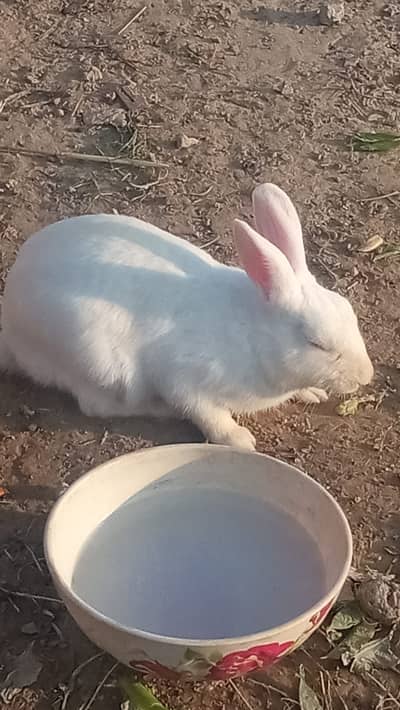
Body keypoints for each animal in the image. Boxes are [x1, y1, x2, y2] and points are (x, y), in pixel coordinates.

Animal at [0, 183, 373, 450]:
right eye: (316, 343)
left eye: (349, 312)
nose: (366, 377)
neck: (253, 336)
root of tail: (11, 329)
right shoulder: (186, 382)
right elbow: (210, 416)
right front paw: (241, 441)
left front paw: (313, 393)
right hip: (97, 364)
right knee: (97, 406)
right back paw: (160, 410)